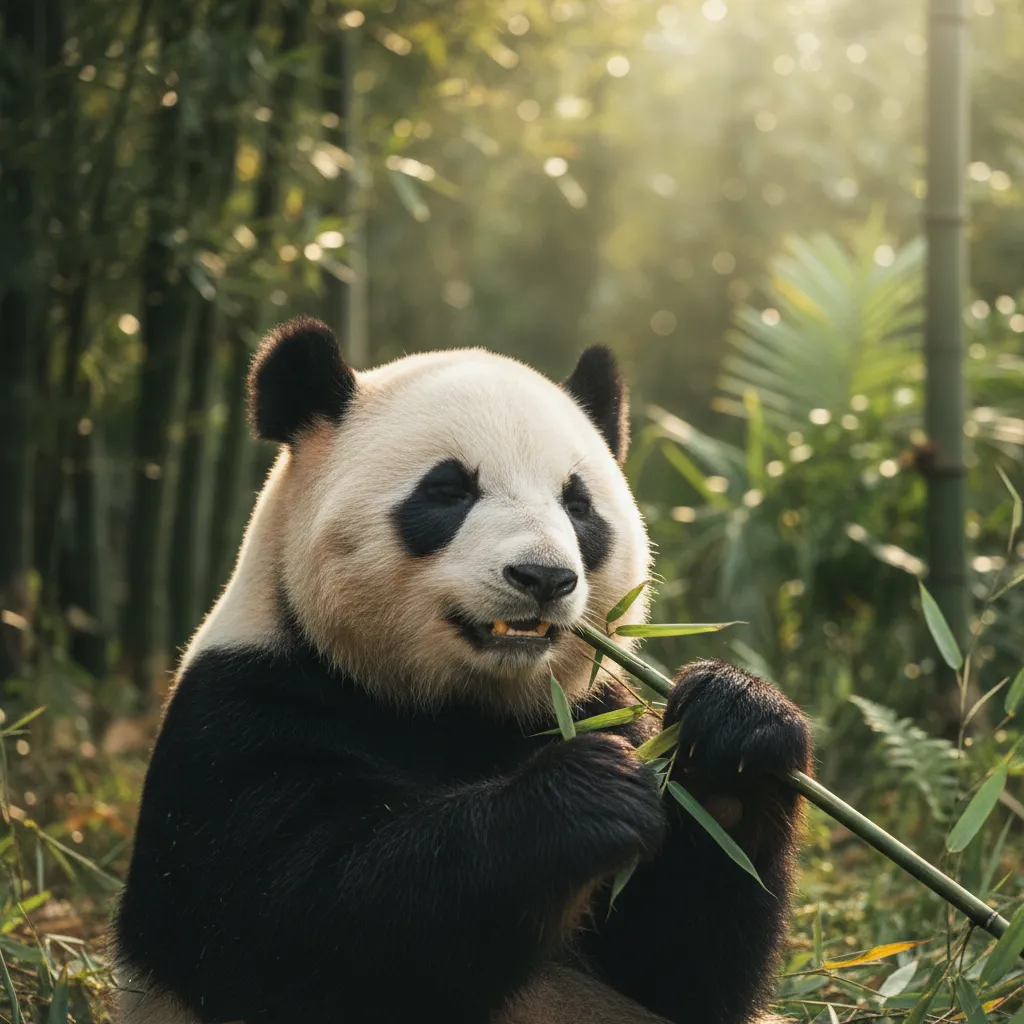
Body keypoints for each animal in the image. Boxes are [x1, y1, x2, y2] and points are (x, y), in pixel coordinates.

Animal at [111, 317, 812, 1024]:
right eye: (448, 490)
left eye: (578, 505)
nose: (543, 577)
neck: (457, 704)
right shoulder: (242, 712)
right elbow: (297, 924)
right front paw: (589, 790)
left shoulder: (591, 704)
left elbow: (681, 965)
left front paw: (733, 730)